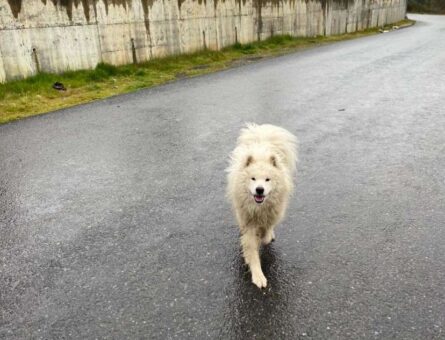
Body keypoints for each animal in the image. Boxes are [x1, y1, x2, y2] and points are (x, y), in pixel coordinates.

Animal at [227, 123, 296, 288]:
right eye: (253, 178)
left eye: (267, 179)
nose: (259, 189)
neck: (259, 209)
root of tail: (262, 142)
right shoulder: (248, 222)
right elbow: (252, 249)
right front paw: (258, 276)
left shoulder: (271, 215)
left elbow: (266, 233)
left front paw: (265, 237)